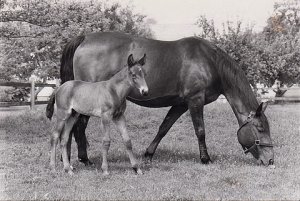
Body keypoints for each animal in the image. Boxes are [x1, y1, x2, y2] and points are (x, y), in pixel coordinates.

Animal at [46, 31, 274, 166]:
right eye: (260, 128)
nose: (270, 160)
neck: (209, 61)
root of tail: (84, 38)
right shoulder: (195, 100)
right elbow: (200, 131)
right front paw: (205, 158)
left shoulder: (180, 104)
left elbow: (164, 128)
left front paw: (148, 154)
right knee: (79, 126)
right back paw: (83, 159)